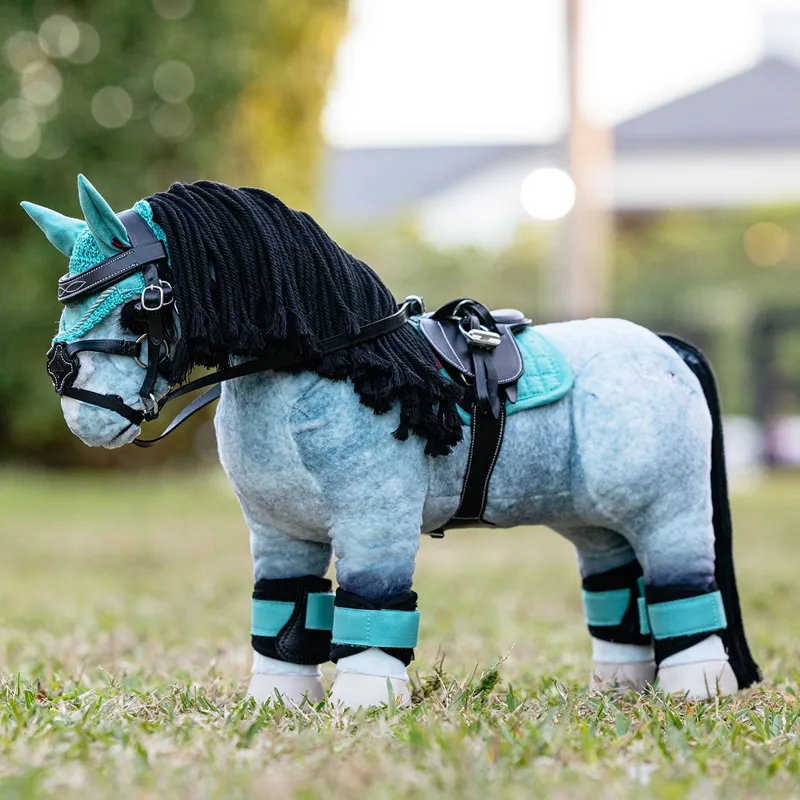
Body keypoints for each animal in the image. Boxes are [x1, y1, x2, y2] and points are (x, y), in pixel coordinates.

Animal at [23, 176, 760, 709]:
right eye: (68, 302)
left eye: (138, 306)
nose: (83, 409)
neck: (338, 364)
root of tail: (663, 346)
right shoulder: (278, 532)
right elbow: (285, 612)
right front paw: (277, 703)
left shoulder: (374, 519)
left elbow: (371, 605)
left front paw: (365, 705)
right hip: (595, 523)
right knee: (618, 594)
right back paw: (617, 690)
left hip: (667, 512)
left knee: (682, 590)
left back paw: (696, 690)